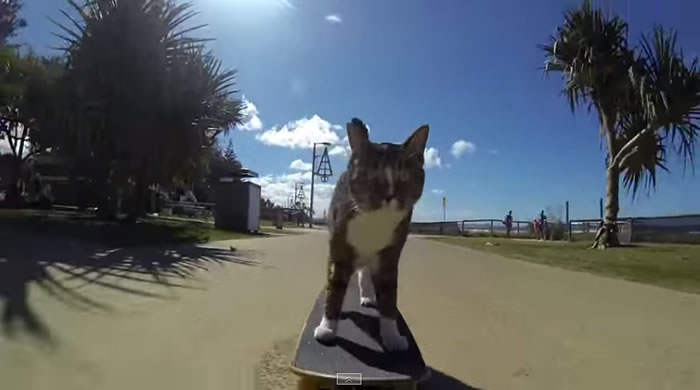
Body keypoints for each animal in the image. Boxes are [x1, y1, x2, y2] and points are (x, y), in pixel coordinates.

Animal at [314, 117, 430, 352]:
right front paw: (327, 328)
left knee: (364, 274)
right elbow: (335, 287)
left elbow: (389, 297)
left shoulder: (389, 258)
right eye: (372, 177)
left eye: (404, 179)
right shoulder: (339, 253)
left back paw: (367, 295)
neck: (374, 222)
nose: (390, 195)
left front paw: (392, 337)